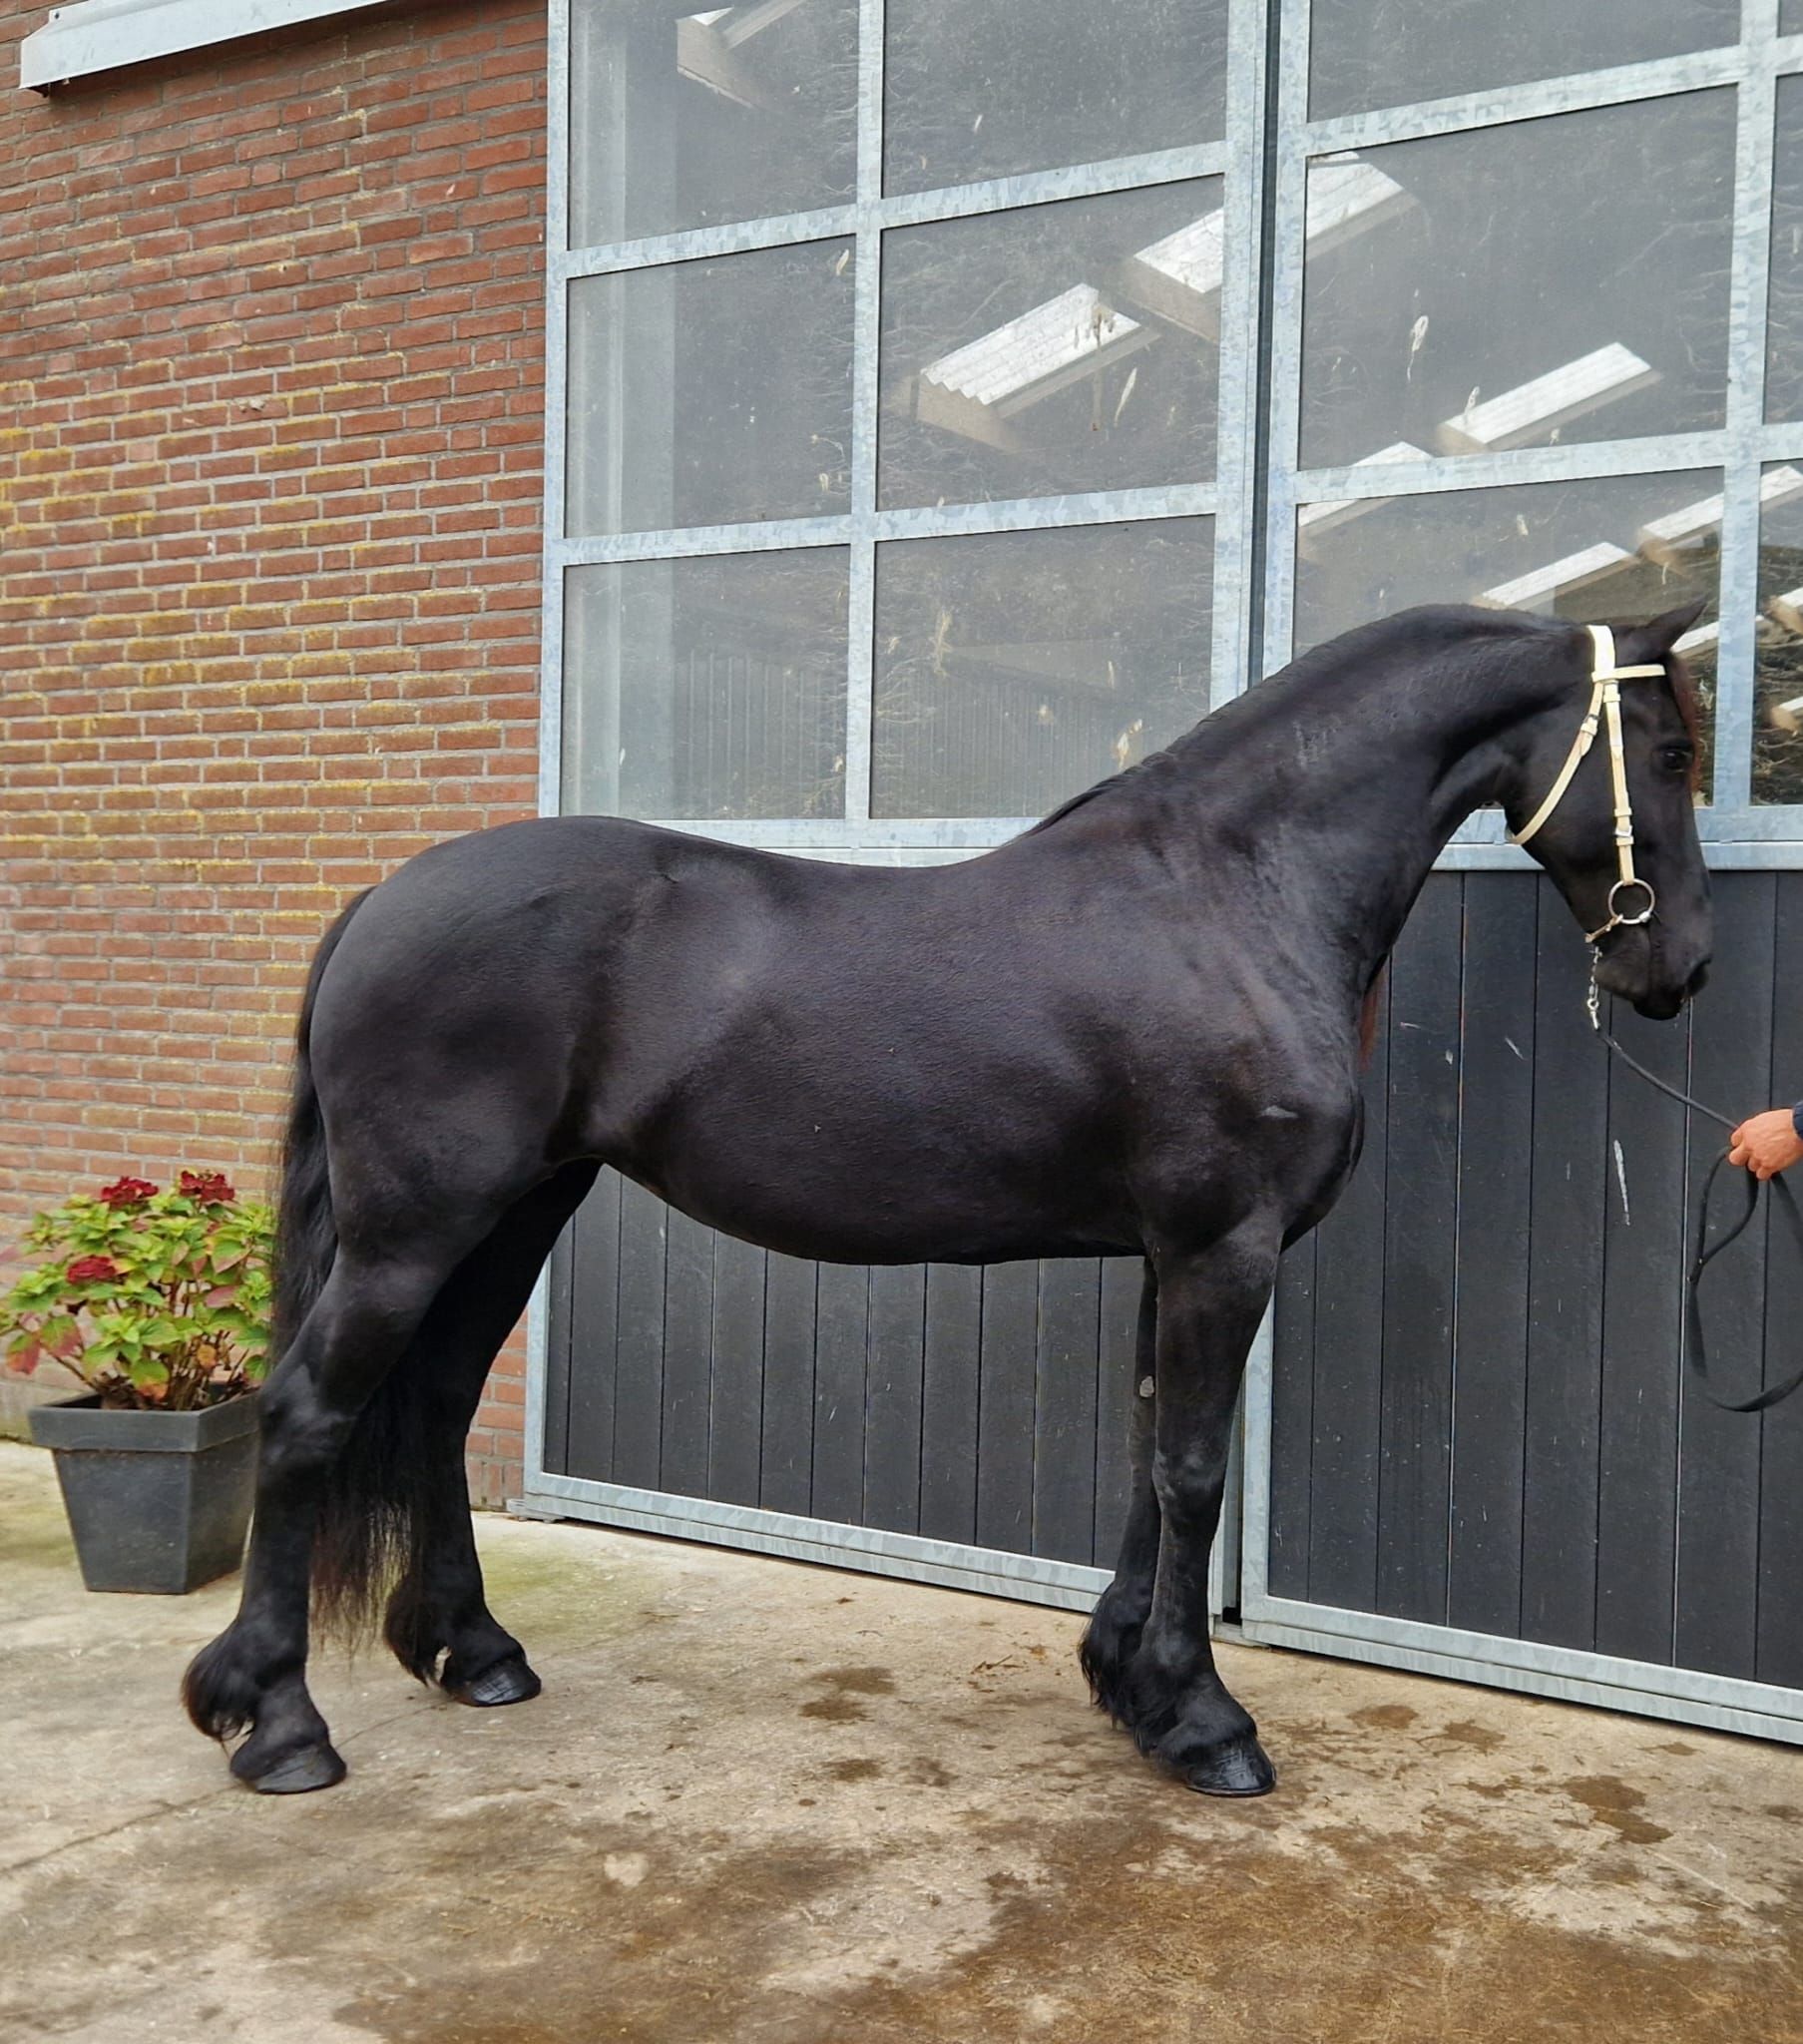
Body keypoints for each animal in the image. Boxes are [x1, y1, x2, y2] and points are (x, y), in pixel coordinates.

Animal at [183, 599, 1712, 1798]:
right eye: (1674, 751)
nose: (1678, 969)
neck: (1232, 895)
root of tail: (384, 897)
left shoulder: (1170, 1251)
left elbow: (1151, 1454)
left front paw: (1127, 1682)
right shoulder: (1224, 1247)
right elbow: (1195, 1470)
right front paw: (1204, 1721)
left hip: (516, 1212)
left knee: (439, 1401)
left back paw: (475, 1653)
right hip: (418, 1227)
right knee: (308, 1415)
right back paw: (278, 1722)